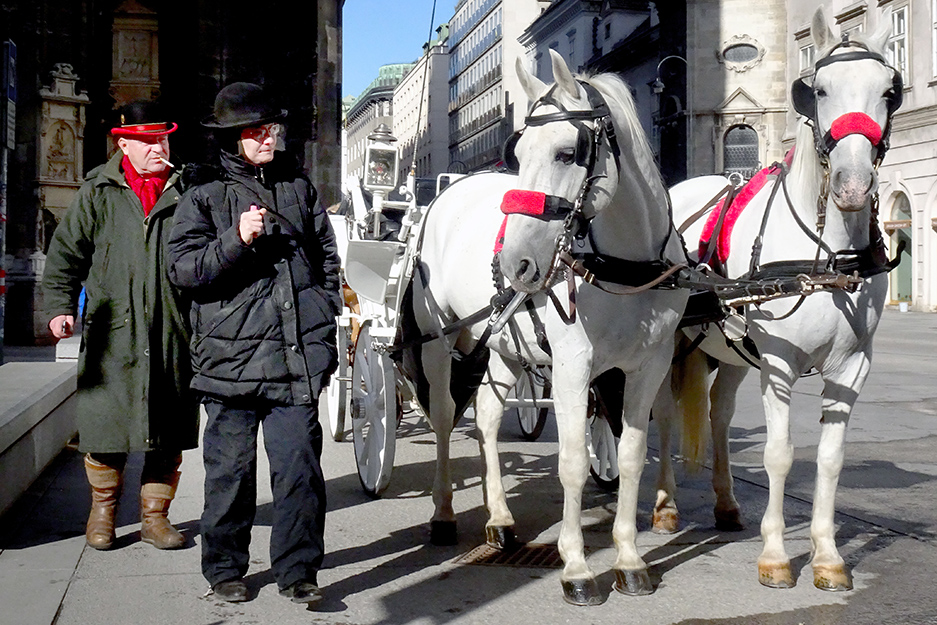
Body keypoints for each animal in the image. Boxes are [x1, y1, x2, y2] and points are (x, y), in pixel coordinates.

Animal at [656, 4, 896, 588]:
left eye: (888, 90)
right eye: (819, 89)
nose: (852, 185)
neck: (828, 257)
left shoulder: (852, 366)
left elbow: (830, 459)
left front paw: (827, 555)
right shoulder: (781, 364)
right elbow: (780, 454)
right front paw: (775, 554)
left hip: (730, 352)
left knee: (718, 415)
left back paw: (725, 504)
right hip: (668, 347)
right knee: (663, 414)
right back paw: (665, 505)